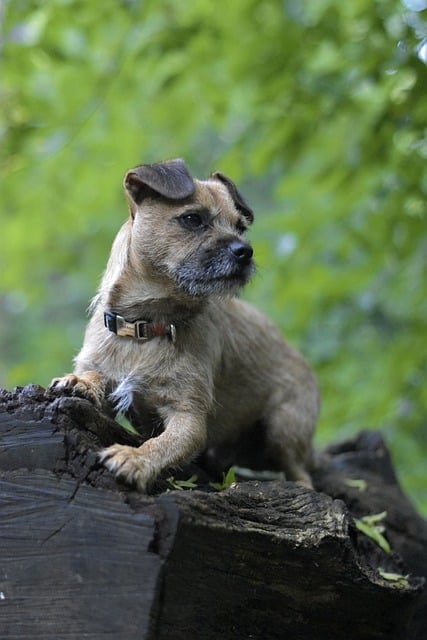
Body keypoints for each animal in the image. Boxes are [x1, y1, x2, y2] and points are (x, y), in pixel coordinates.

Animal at [50, 159, 320, 490]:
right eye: (193, 219)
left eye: (241, 227)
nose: (245, 251)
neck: (145, 328)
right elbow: (95, 375)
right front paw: (81, 381)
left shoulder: (188, 417)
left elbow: (163, 443)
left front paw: (135, 458)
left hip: (284, 425)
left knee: (301, 473)